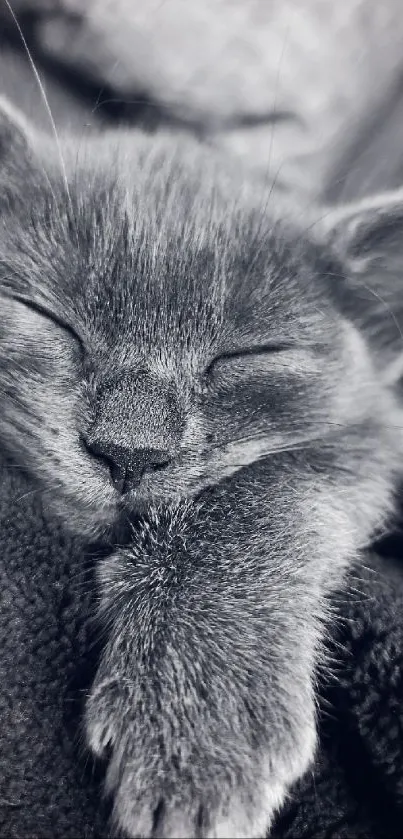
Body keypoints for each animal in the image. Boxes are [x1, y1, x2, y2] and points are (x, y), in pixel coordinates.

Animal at [0, 97, 403, 832]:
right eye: (49, 316)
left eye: (247, 355)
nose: (128, 450)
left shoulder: (375, 430)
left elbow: (271, 485)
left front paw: (197, 713)